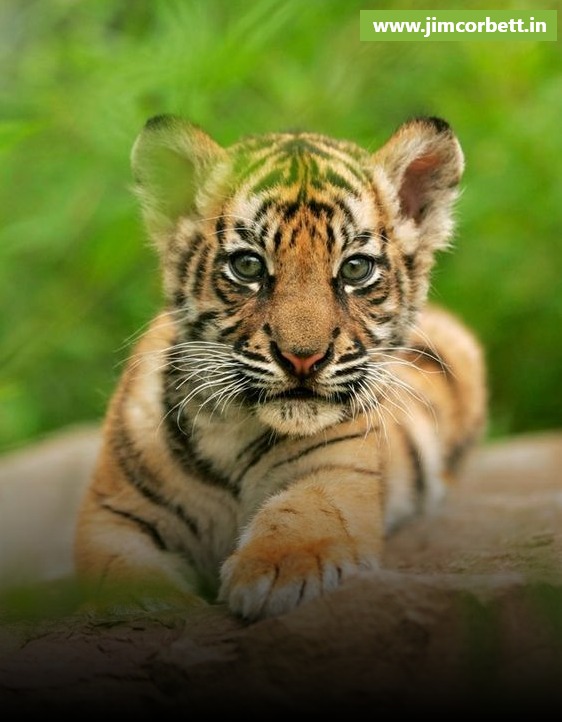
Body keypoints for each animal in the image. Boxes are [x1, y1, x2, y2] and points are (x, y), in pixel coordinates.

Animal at [74, 114, 487, 620]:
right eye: (248, 266)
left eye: (355, 269)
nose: (303, 358)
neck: (230, 431)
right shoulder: (112, 513)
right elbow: (121, 575)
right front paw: (159, 607)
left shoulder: (332, 477)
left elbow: (301, 520)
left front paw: (275, 572)